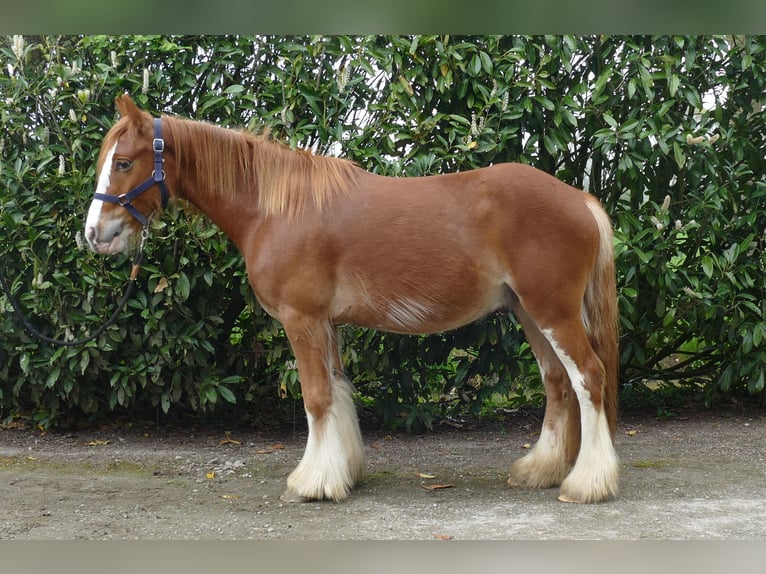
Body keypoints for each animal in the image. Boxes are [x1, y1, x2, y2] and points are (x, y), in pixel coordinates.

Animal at [84, 94, 620, 504]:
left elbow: (316, 397)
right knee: (558, 383)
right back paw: (540, 471)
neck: (276, 209)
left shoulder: (302, 319)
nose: (94, 234)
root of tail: (579, 199)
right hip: (530, 313)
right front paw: (343, 472)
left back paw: (586, 485)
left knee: (588, 378)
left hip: (552, 312)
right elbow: (338, 392)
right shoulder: (326, 323)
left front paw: (312, 483)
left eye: (124, 162)